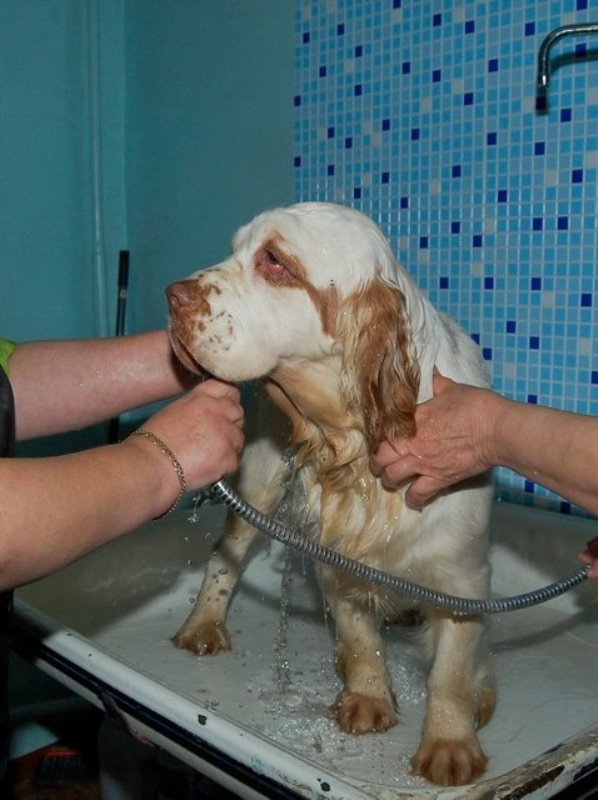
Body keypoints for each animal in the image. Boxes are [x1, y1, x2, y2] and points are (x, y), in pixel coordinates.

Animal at [166, 202, 495, 786]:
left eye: (274, 261)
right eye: (234, 250)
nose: (172, 295)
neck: (357, 450)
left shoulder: (465, 581)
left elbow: (452, 674)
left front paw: (450, 744)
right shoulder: (337, 559)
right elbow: (361, 639)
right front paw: (367, 699)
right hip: (259, 485)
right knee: (224, 558)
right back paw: (202, 625)